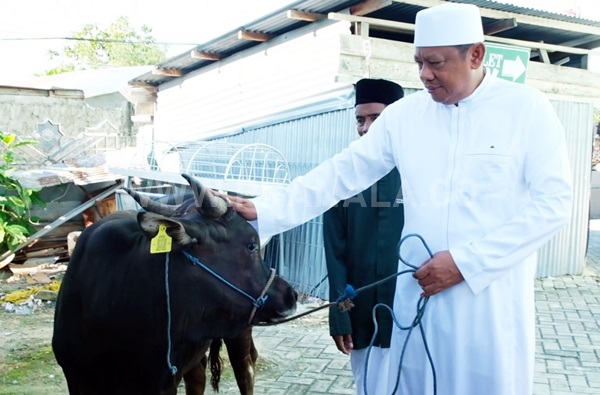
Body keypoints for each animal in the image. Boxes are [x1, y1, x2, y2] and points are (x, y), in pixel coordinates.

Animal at [52, 176, 298, 395]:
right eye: (251, 245)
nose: (291, 295)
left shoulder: (163, 384)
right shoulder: (76, 379)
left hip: (240, 332)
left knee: (245, 372)